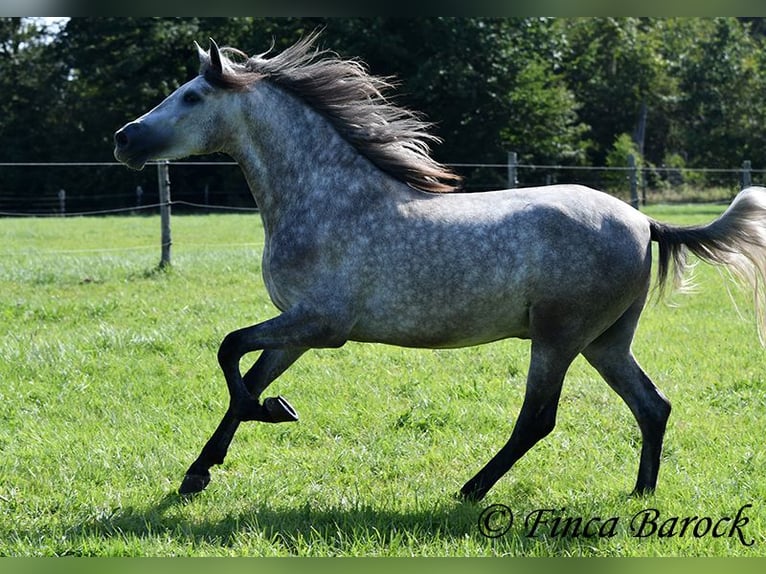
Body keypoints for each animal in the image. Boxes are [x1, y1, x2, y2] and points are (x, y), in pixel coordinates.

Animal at [114, 37, 766, 504]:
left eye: (192, 97)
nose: (124, 139)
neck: (330, 200)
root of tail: (643, 221)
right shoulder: (297, 329)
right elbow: (245, 375)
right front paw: (200, 471)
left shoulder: (321, 325)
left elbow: (229, 353)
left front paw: (271, 413)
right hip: (604, 341)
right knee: (652, 406)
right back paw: (640, 494)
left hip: (558, 337)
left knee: (539, 419)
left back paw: (470, 490)